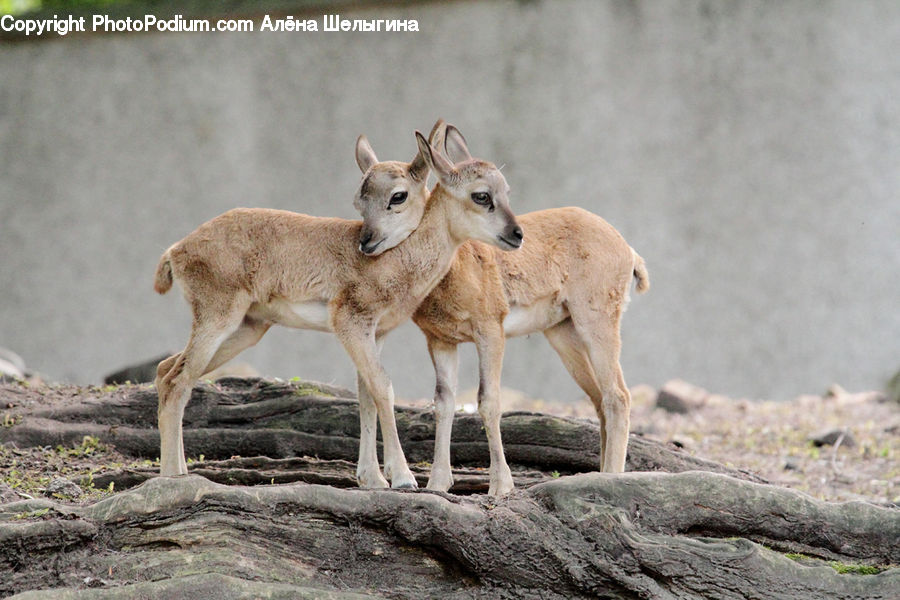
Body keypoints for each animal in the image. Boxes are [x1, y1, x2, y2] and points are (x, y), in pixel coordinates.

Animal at [152, 121, 523, 489]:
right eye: (481, 195)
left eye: (506, 190)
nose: (516, 234)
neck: (396, 260)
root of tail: (176, 251)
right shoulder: (351, 324)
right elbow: (383, 387)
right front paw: (402, 478)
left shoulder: (376, 333)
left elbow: (366, 394)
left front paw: (373, 478)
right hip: (217, 318)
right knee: (176, 381)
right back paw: (171, 476)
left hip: (245, 329)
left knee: (166, 370)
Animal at [352, 124, 649, 496]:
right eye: (359, 199)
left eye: (398, 196)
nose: (367, 241)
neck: (457, 270)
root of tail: (628, 251)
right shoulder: (441, 340)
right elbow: (443, 402)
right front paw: (437, 483)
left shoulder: (491, 332)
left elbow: (488, 401)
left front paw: (500, 485)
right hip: (563, 334)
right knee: (599, 399)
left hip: (597, 323)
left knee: (618, 396)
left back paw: (610, 476)